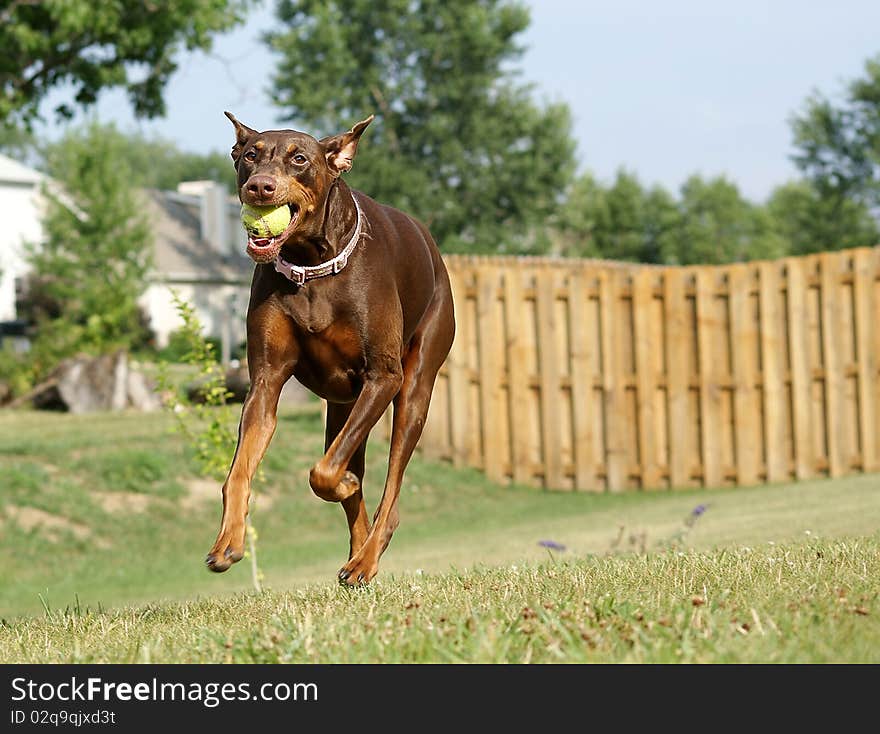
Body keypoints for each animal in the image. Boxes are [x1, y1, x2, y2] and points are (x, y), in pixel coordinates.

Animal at [205, 113, 454, 588]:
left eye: (299, 158)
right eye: (250, 155)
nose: (260, 187)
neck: (311, 265)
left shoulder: (382, 377)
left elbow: (323, 472)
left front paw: (344, 486)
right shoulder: (265, 380)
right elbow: (241, 470)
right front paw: (228, 542)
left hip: (414, 385)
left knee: (390, 489)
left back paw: (366, 559)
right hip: (343, 406)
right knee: (348, 464)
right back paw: (357, 554)